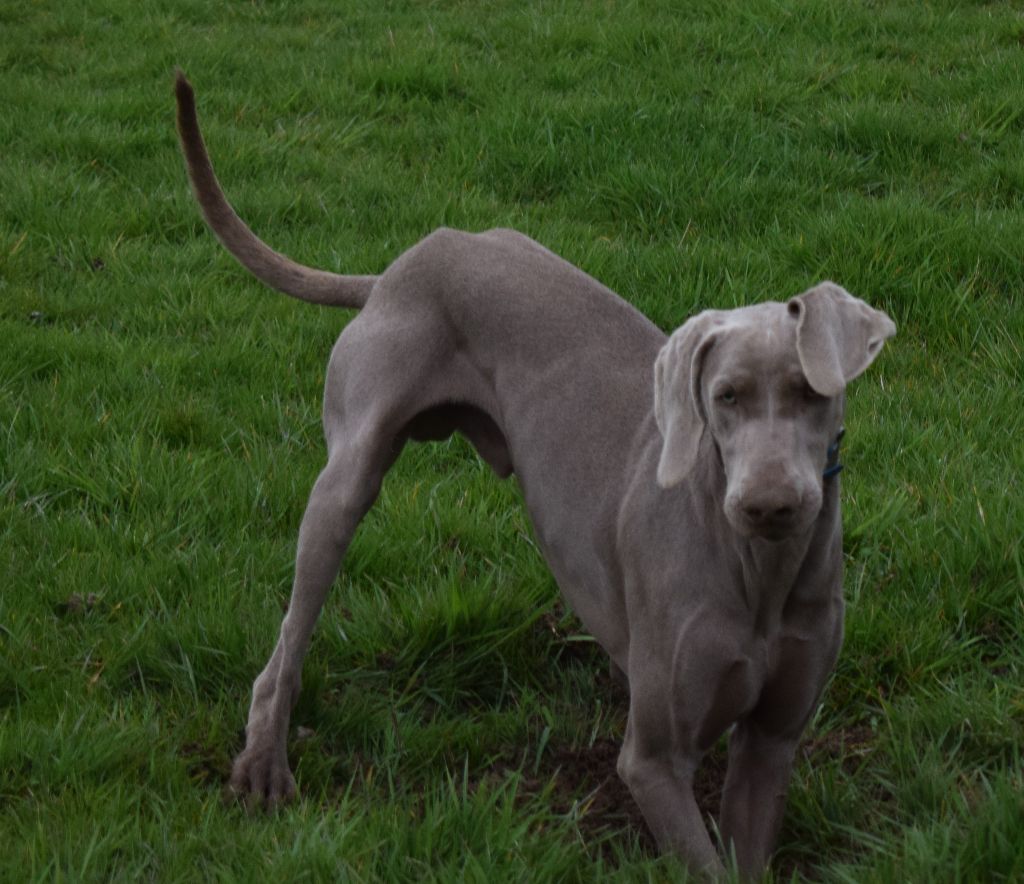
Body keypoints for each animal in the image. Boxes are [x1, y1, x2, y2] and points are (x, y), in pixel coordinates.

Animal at [174, 72, 895, 878]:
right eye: (724, 397)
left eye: (811, 392)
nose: (768, 506)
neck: (761, 575)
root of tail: (397, 268)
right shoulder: (654, 760)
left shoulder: (771, 744)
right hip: (348, 475)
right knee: (289, 638)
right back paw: (264, 763)